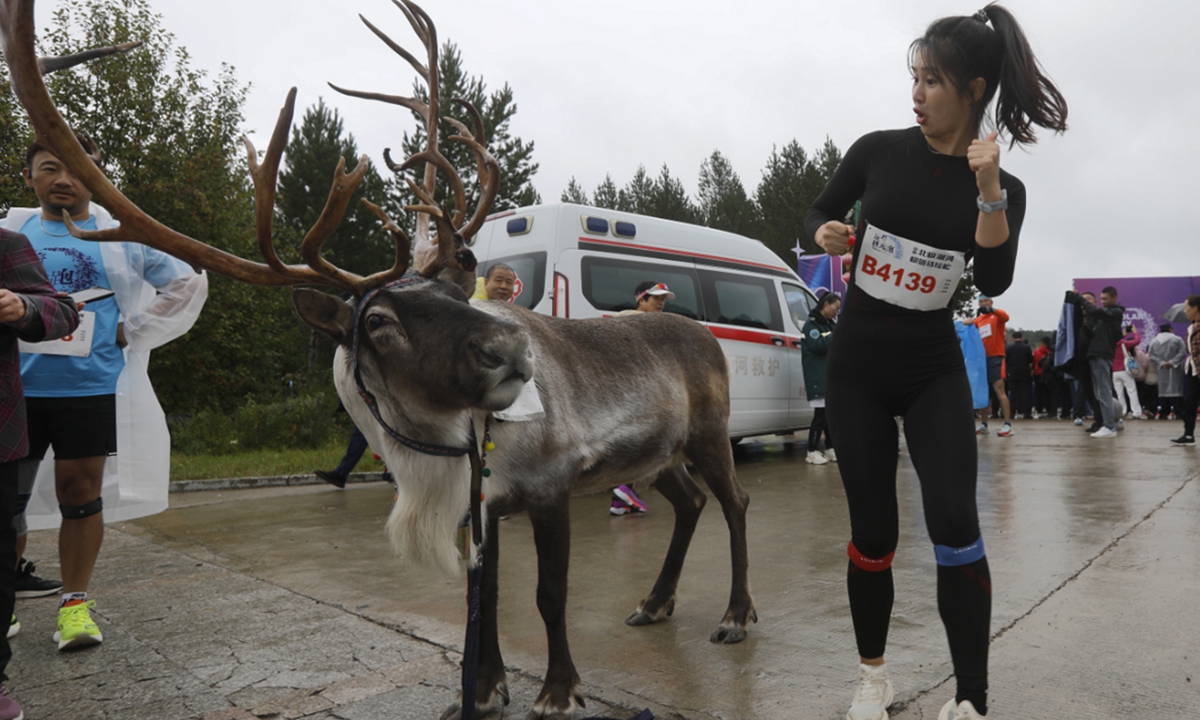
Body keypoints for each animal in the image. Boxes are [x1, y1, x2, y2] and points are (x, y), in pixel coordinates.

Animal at [0, 1, 757, 717]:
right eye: (379, 321)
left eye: (454, 290)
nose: (512, 349)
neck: (448, 450)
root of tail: (701, 333)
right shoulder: (485, 510)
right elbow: (486, 601)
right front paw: (482, 692)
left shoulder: (549, 483)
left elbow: (549, 593)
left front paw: (559, 691)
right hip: (657, 455)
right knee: (691, 503)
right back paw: (654, 602)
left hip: (708, 432)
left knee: (736, 501)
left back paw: (735, 616)